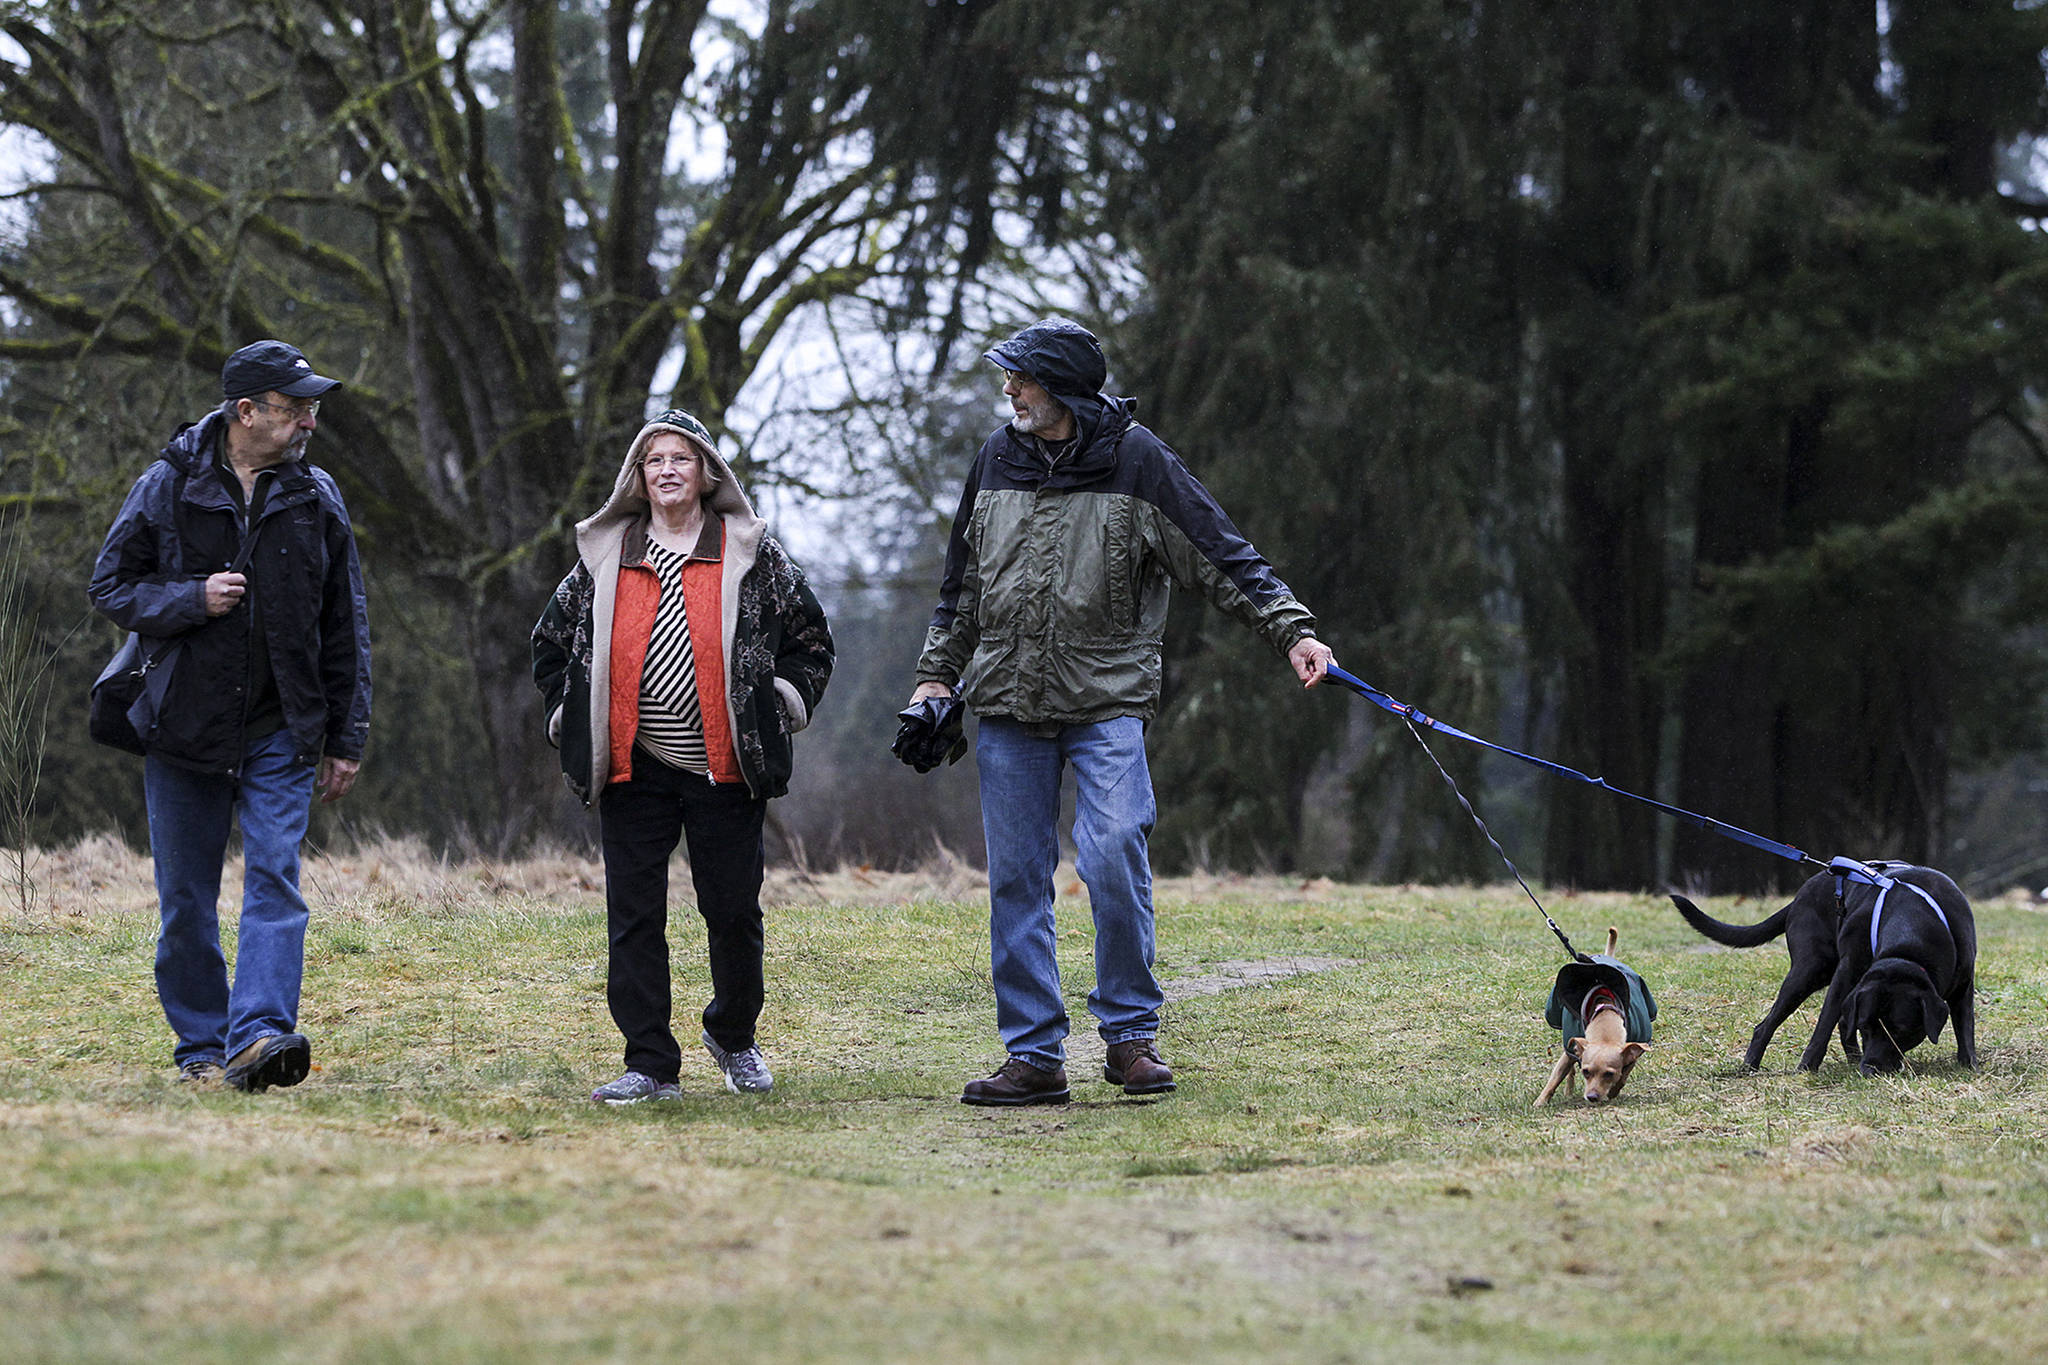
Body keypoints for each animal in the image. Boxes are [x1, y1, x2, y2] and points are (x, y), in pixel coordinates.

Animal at [1531, 929, 1654, 1113]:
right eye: (1586, 1072)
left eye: (1609, 1074)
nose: (1592, 1097)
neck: (1605, 1016)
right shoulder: (1571, 1050)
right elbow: (1555, 1077)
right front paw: (1540, 1101)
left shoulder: (1634, 1053)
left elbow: (1623, 1076)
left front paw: (1614, 1090)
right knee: (1569, 1070)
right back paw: (1568, 1090)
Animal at [1671, 863, 1974, 1080]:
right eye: (1867, 1027)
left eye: (1900, 1030)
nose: (1870, 1069)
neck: (1910, 941)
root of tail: (1797, 898)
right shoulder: (1846, 973)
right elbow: (1825, 1023)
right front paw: (1807, 1067)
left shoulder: (1964, 983)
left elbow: (1965, 1026)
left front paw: (1969, 1064)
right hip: (1809, 970)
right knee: (1766, 1025)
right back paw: (1750, 1066)